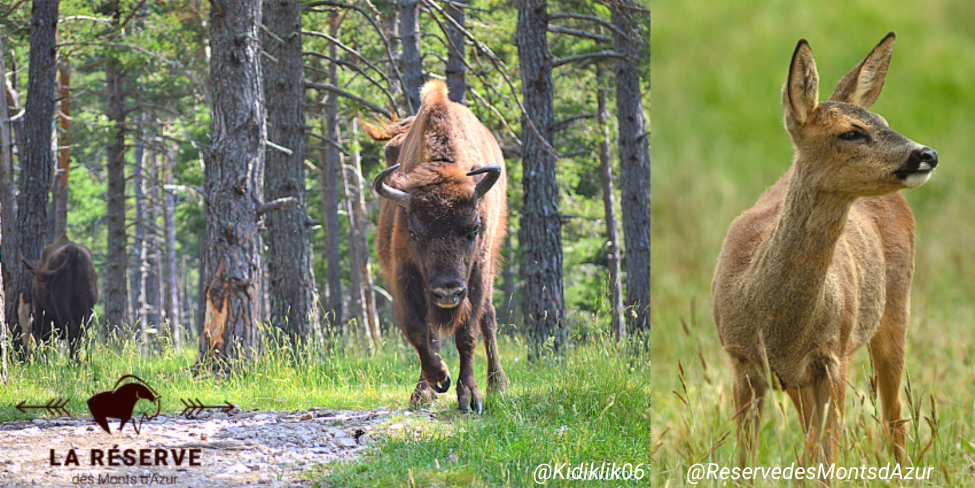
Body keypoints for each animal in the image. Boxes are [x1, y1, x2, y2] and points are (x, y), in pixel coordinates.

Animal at [366, 80, 510, 412]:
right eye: (414, 232)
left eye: (473, 229)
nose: (447, 291)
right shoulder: (404, 273)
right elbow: (419, 330)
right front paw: (437, 379)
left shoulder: (476, 273)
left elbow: (467, 333)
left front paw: (469, 396)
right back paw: (425, 390)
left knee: (488, 318)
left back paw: (497, 385)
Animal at [716, 32, 936, 468]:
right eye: (851, 133)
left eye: (884, 122)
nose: (927, 154)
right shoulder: (742, 363)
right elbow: (745, 460)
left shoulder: (833, 357)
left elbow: (827, 455)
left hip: (895, 306)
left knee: (894, 416)